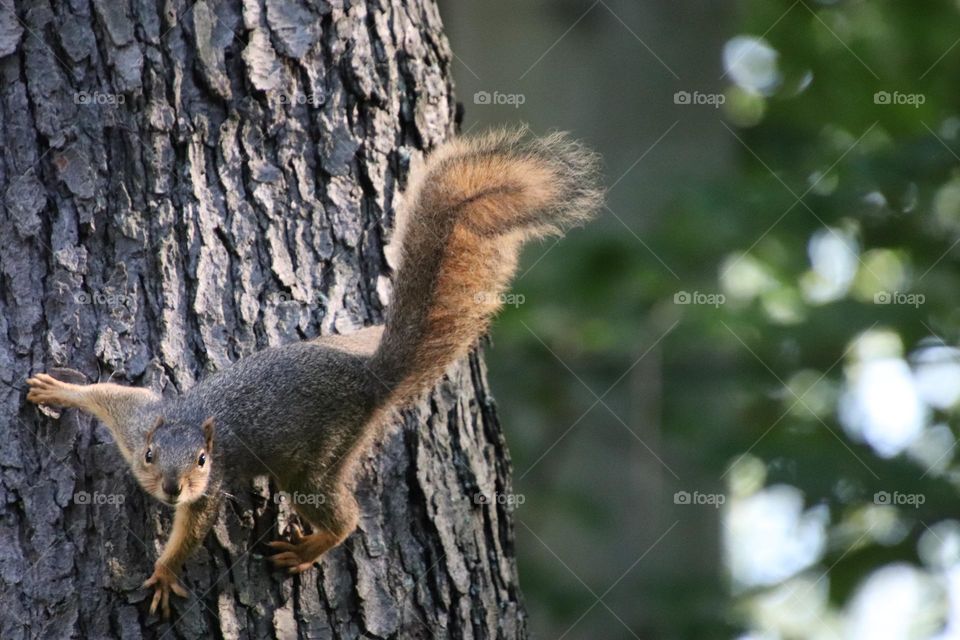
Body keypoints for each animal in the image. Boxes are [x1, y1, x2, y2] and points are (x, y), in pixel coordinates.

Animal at [26, 126, 600, 620]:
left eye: (203, 460)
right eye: (148, 455)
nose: (171, 488)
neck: (185, 422)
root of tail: (370, 379)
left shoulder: (209, 490)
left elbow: (192, 532)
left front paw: (166, 574)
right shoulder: (138, 418)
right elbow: (109, 393)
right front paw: (56, 388)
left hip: (316, 463)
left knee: (344, 516)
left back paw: (309, 547)